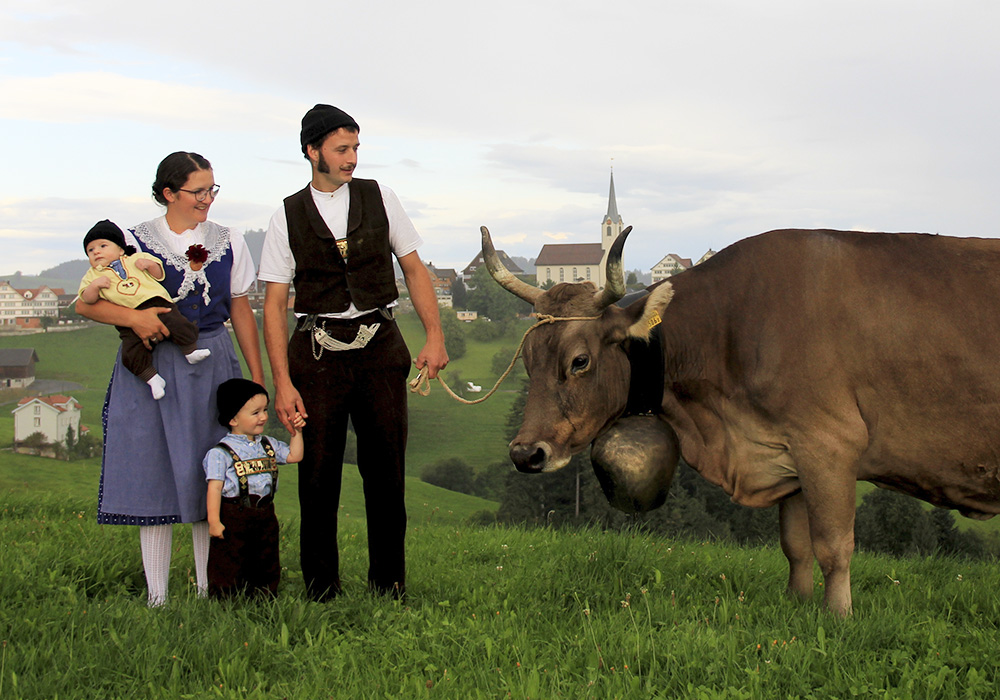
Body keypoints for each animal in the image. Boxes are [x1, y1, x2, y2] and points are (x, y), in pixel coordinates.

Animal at [488, 227, 1000, 616]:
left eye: (579, 361)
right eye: (528, 359)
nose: (526, 452)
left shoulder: (830, 444)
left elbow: (834, 546)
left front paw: (839, 619)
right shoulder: (788, 452)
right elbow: (796, 545)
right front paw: (797, 605)